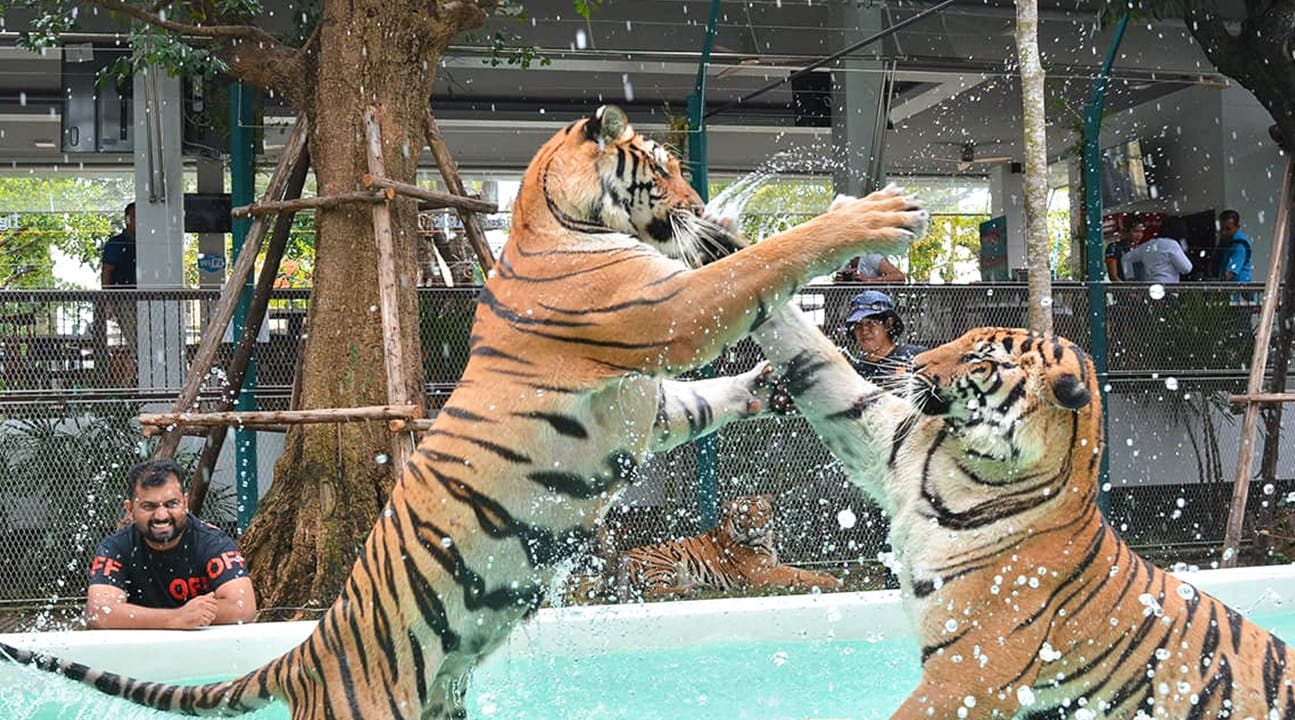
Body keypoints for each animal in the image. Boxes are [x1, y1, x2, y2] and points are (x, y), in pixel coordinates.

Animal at [615, 494, 841, 599]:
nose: (758, 528)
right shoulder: (761, 573)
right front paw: (831, 582)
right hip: (661, 561)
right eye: (744, 514)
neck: (765, 543)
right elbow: (797, 575)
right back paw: (691, 590)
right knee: (651, 591)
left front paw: (827, 575)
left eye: (762, 511)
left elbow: (802, 570)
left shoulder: (774, 565)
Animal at [748, 293, 1295, 718]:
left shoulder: (967, 678)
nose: (914, 365)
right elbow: (812, 358)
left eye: (979, 359)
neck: (959, 468)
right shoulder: (882, 437)